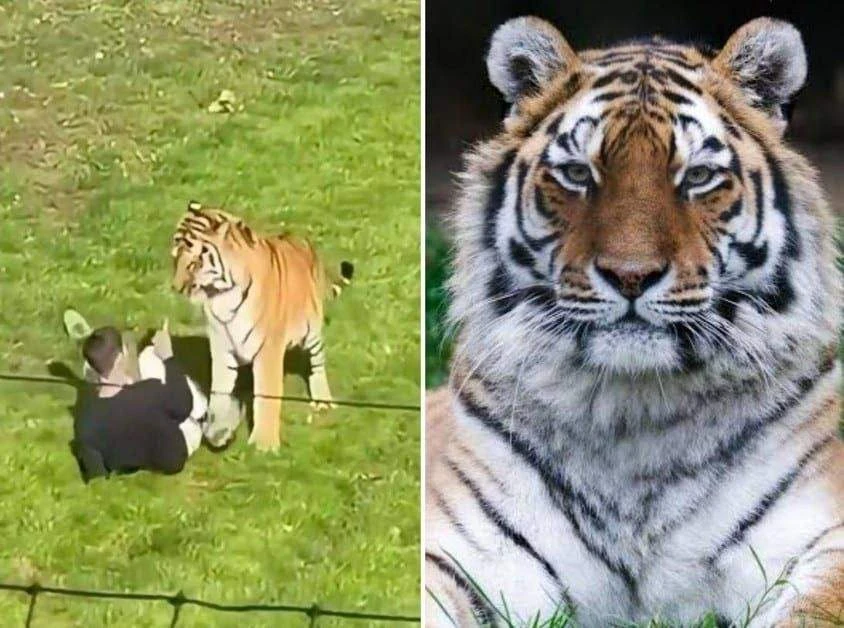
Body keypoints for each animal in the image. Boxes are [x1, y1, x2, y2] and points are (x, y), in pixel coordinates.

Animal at [171, 201, 354, 452]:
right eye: (174, 258)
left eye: (194, 263)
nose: (176, 287)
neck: (221, 297)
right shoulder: (221, 348)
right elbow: (219, 393)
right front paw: (218, 432)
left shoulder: (268, 349)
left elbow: (266, 396)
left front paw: (264, 445)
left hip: (312, 331)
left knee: (317, 364)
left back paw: (323, 400)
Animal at [426, 16, 842, 628]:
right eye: (578, 173)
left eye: (698, 176)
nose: (630, 275)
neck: (635, 412)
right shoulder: (460, 551)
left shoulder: (822, 538)